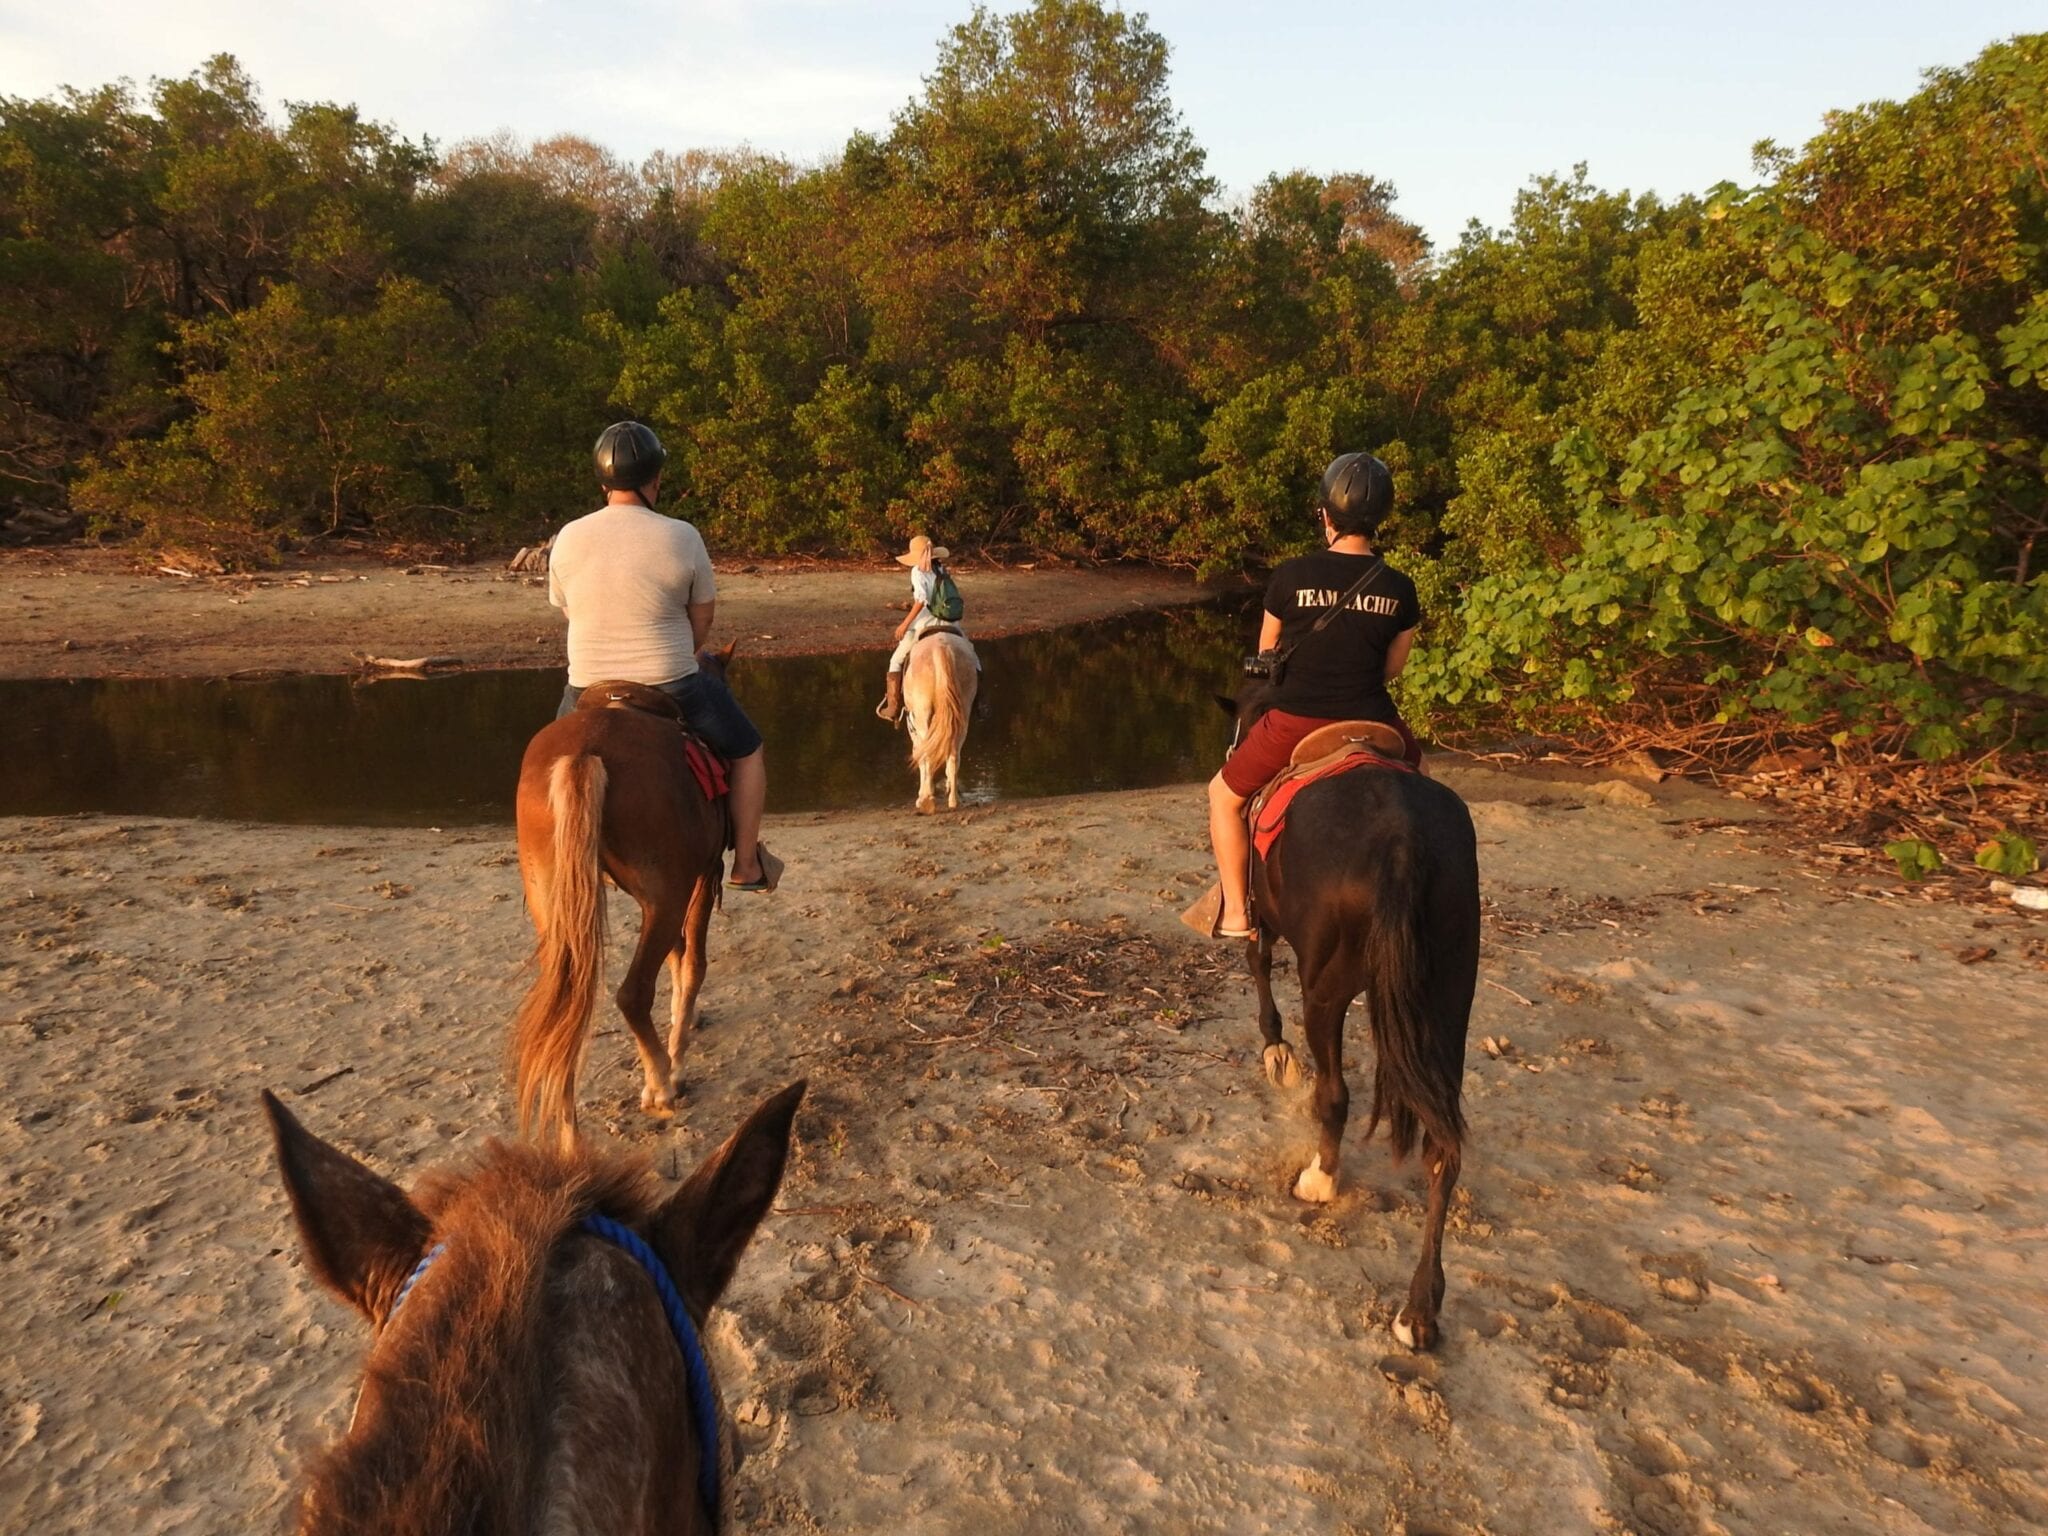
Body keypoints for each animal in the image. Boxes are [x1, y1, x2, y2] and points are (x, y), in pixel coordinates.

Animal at [512, 647, 737, 1146]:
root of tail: (584, 752)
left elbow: (676, 954)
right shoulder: (699, 878)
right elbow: (692, 959)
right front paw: (678, 1053)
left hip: (556, 907)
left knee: (565, 1011)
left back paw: (571, 1142)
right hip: (667, 896)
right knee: (632, 994)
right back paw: (661, 1086)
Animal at [909, 626, 978, 819]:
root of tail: (941, 648)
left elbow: (922, 757)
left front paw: (923, 795)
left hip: (923, 715)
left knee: (928, 754)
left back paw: (927, 801)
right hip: (962, 714)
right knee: (954, 753)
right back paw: (954, 800)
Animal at [1220, 684, 1482, 1343]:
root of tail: (1401, 841)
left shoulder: (1264, 920)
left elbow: (1256, 959)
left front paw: (1276, 1052)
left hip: (1326, 991)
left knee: (1335, 1094)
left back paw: (1319, 1178)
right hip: (1450, 995)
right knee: (1444, 1146)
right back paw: (1419, 1309)